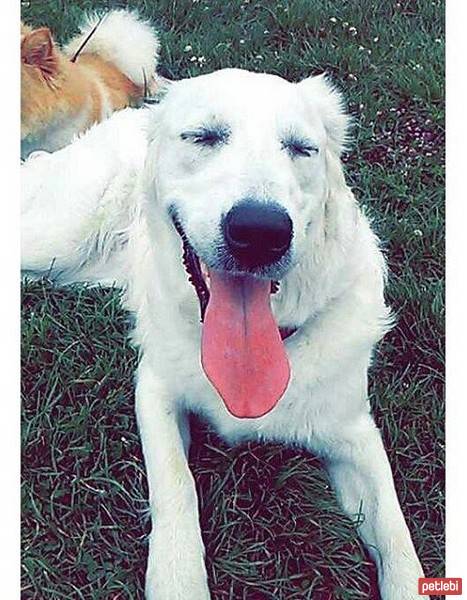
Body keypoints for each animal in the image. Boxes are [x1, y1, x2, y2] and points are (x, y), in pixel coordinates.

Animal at [21, 68, 428, 596]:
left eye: (301, 148)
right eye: (204, 137)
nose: (259, 232)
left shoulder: (356, 434)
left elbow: (398, 541)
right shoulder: (155, 389)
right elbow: (176, 485)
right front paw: (178, 577)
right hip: (57, 236)